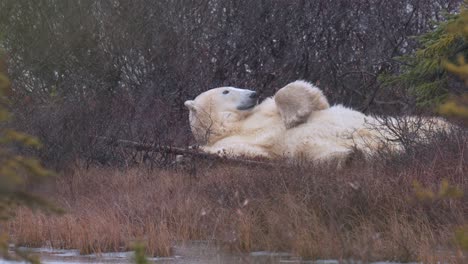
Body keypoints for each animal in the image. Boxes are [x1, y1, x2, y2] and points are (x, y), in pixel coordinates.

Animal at [185, 80, 448, 163]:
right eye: (226, 91)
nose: (253, 93)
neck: (236, 124)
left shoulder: (264, 111)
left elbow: (297, 97)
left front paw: (296, 114)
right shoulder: (230, 143)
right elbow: (253, 152)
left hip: (404, 122)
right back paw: (350, 156)